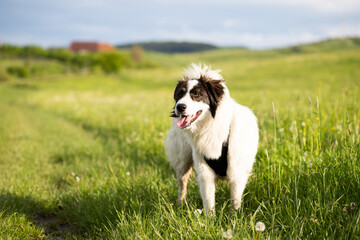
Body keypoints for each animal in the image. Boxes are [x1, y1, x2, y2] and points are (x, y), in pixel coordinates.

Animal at [166, 62, 258, 213]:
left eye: (196, 94)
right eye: (180, 94)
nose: (179, 107)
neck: (210, 126)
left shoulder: (236, 173)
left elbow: (235, 202)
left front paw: (235, 218)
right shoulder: (204, 173)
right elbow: (209, 202)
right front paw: (211, 219)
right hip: (182, 159)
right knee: (182, 183)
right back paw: (181, 205)